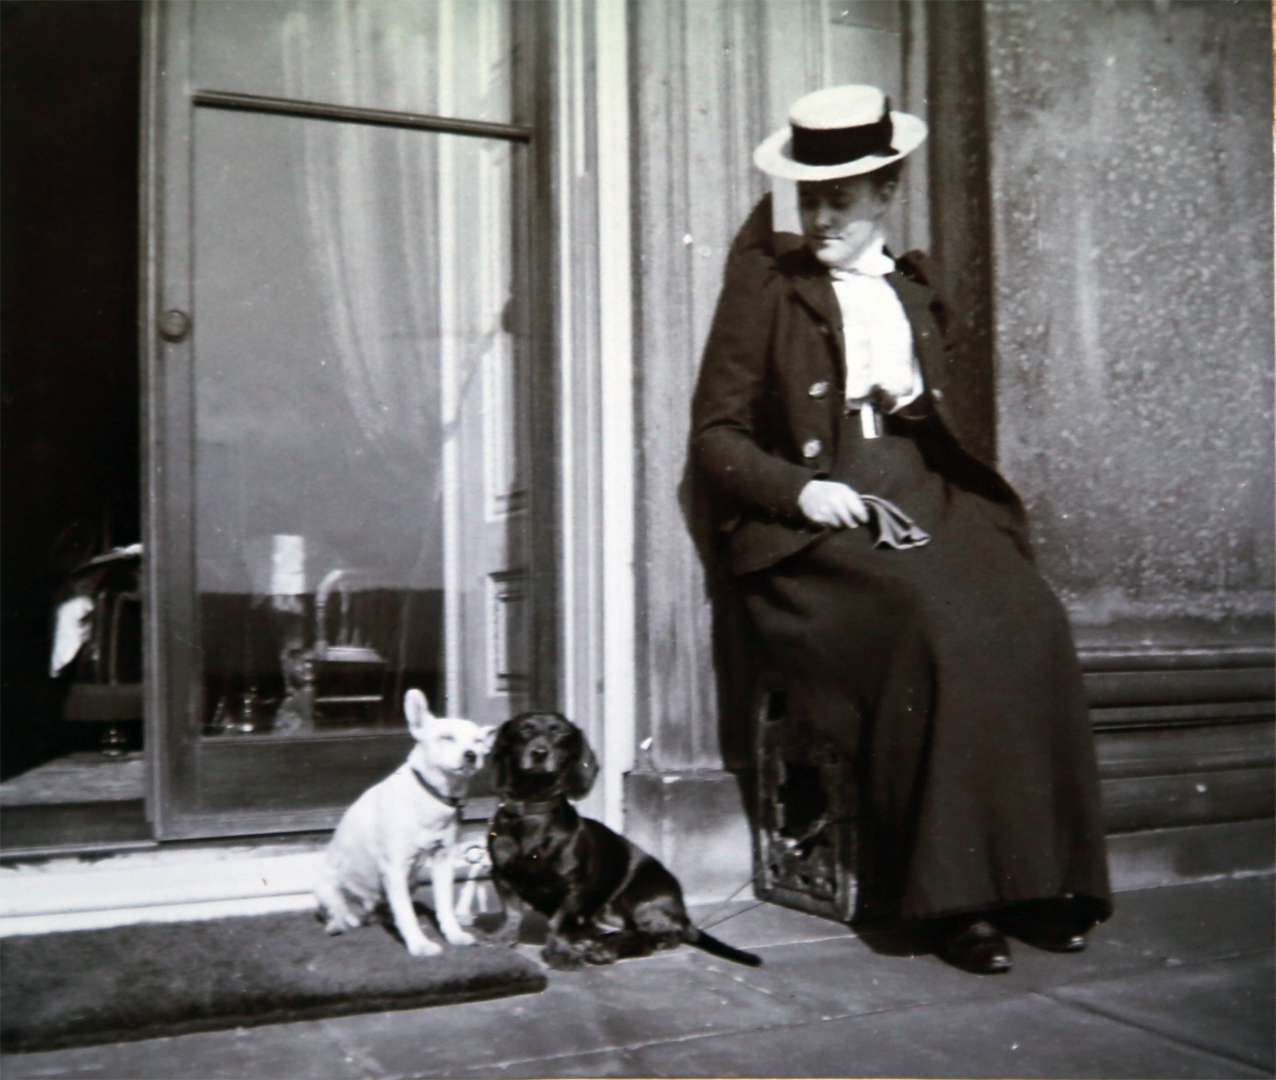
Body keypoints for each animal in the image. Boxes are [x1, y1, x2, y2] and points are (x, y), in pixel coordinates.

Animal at [316, 694, 495, 954]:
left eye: (478, 741)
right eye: (447, 737)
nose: (472, 754)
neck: (431, 795)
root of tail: (365, 913)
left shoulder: (443, 861)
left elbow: (444, 905)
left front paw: (453, 934)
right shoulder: (395, 868)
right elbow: (407, 915)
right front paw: (419, 945)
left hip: (411, 882)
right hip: (328, 887)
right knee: (339, 913)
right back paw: (337, 924)